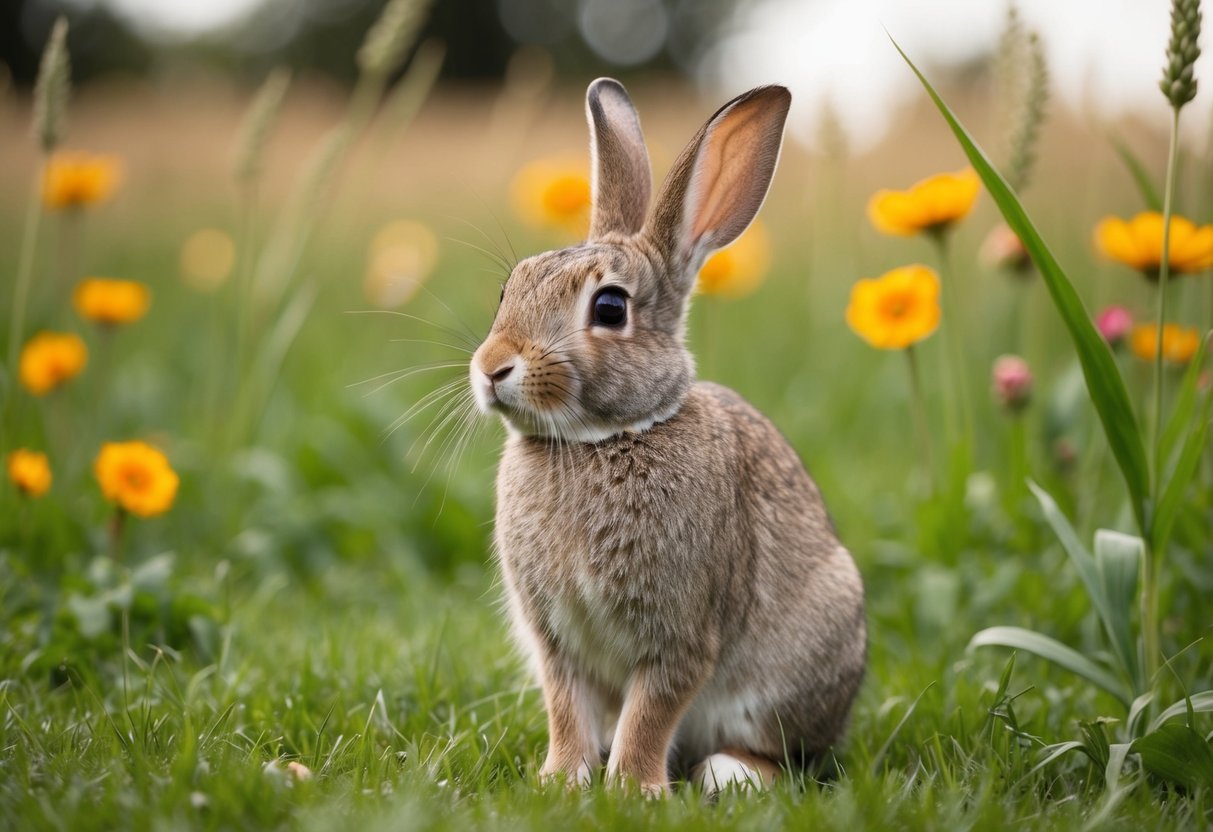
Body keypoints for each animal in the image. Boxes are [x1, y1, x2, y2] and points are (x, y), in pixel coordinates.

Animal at [469, 77, 866, 795]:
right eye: (510, 287)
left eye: (609, 308)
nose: (491, 368)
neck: (600, 440)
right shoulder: (554, 639)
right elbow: (565, 706)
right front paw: (561, 779)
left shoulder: (682, 631)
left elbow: (652, 710)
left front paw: (632, 789)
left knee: (786, 756)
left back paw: (729, 775)